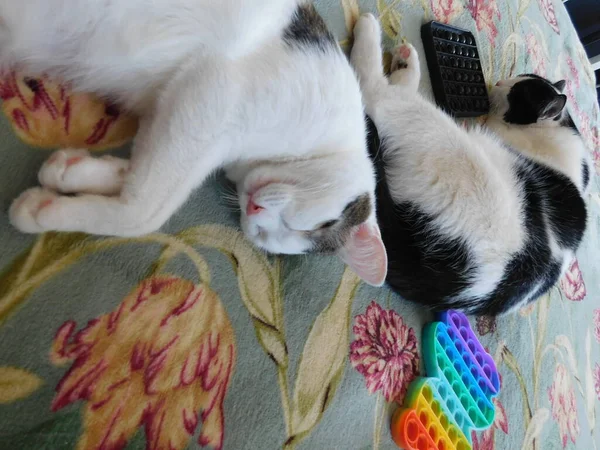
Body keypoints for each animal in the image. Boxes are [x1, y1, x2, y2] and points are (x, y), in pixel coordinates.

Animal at [1, 0, 390, 284]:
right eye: (320, 225)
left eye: (262, 238)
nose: (254, 211)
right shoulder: (211, 92)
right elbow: (145, 213)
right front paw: (43, 211)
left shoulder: (169, 109)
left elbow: (139, 174)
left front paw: (71, 172)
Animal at [352, 14, 592, 316]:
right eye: (519, 78)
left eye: (517, 91)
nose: (499, 82)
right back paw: (406, 62)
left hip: (438, 139)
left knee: (378, 94)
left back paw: (369, 31)